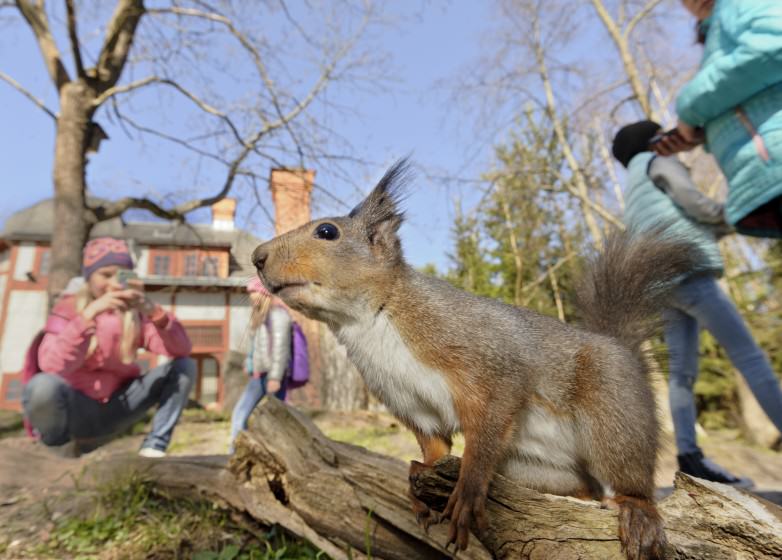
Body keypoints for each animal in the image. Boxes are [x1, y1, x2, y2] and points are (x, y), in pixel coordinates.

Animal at [254, 160, 700, 556]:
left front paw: (467, 490)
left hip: (613, 412)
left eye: (326, 231)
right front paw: (417, 485)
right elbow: (434, 448)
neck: (367, 321)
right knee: (584, 488)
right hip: (532, 469)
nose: (258, 257)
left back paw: (636, 510)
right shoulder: (408, 401)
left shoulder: (488, 359)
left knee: (630, 477)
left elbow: (486, 431)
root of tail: (621, 351)